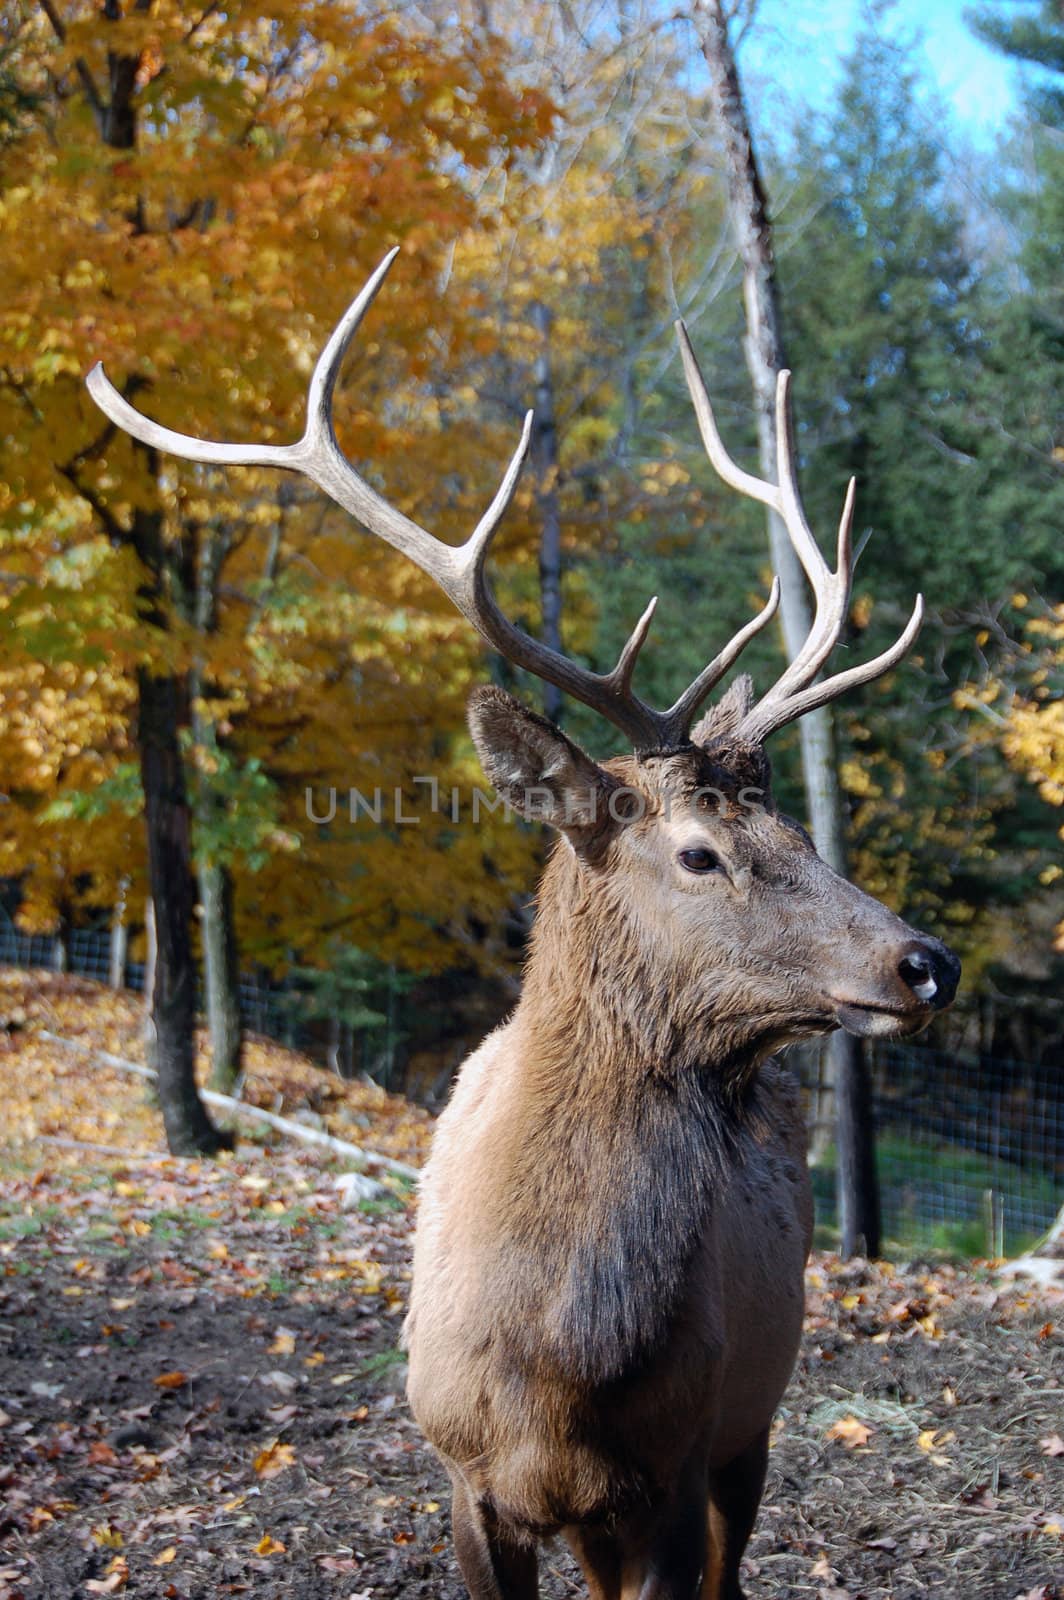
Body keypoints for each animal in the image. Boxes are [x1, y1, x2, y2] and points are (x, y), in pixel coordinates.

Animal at [87, 252, 960, 1600]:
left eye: (800, 833)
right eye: (699, 850)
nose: (923, 962)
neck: (555, 1364)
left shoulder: (673, 1472)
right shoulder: (464, 1477)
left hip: (751, 1422)